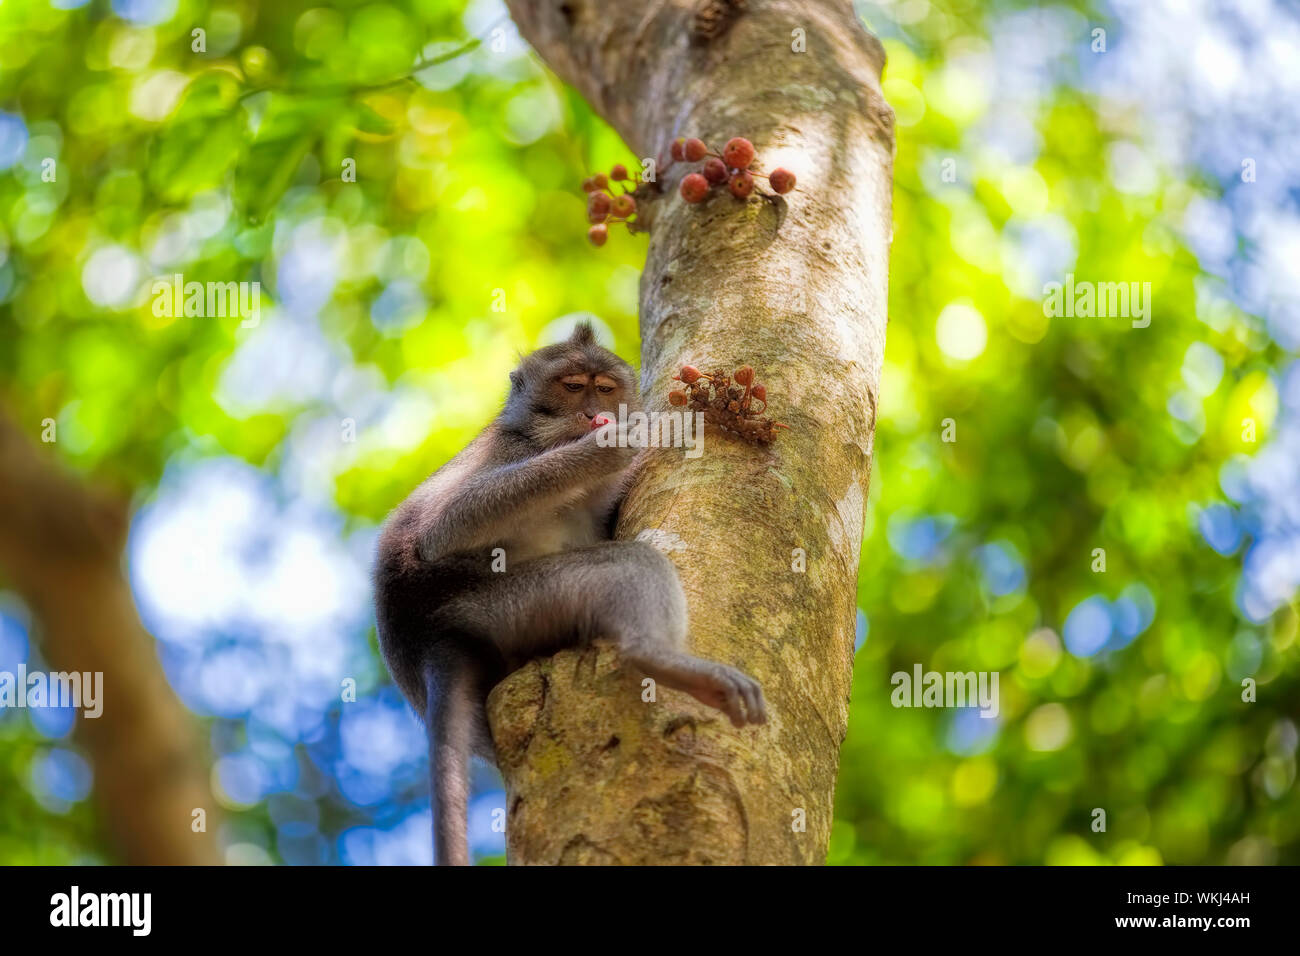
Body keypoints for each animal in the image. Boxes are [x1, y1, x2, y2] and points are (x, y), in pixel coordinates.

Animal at [373, 322, 766, 866]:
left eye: (605, 388)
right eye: (573, 387)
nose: (591, 414)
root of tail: (422, 633)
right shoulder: (507, 452)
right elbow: (444, 529)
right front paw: (608, 446)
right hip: (506, 601)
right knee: (633, 565)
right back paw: (661, 658)